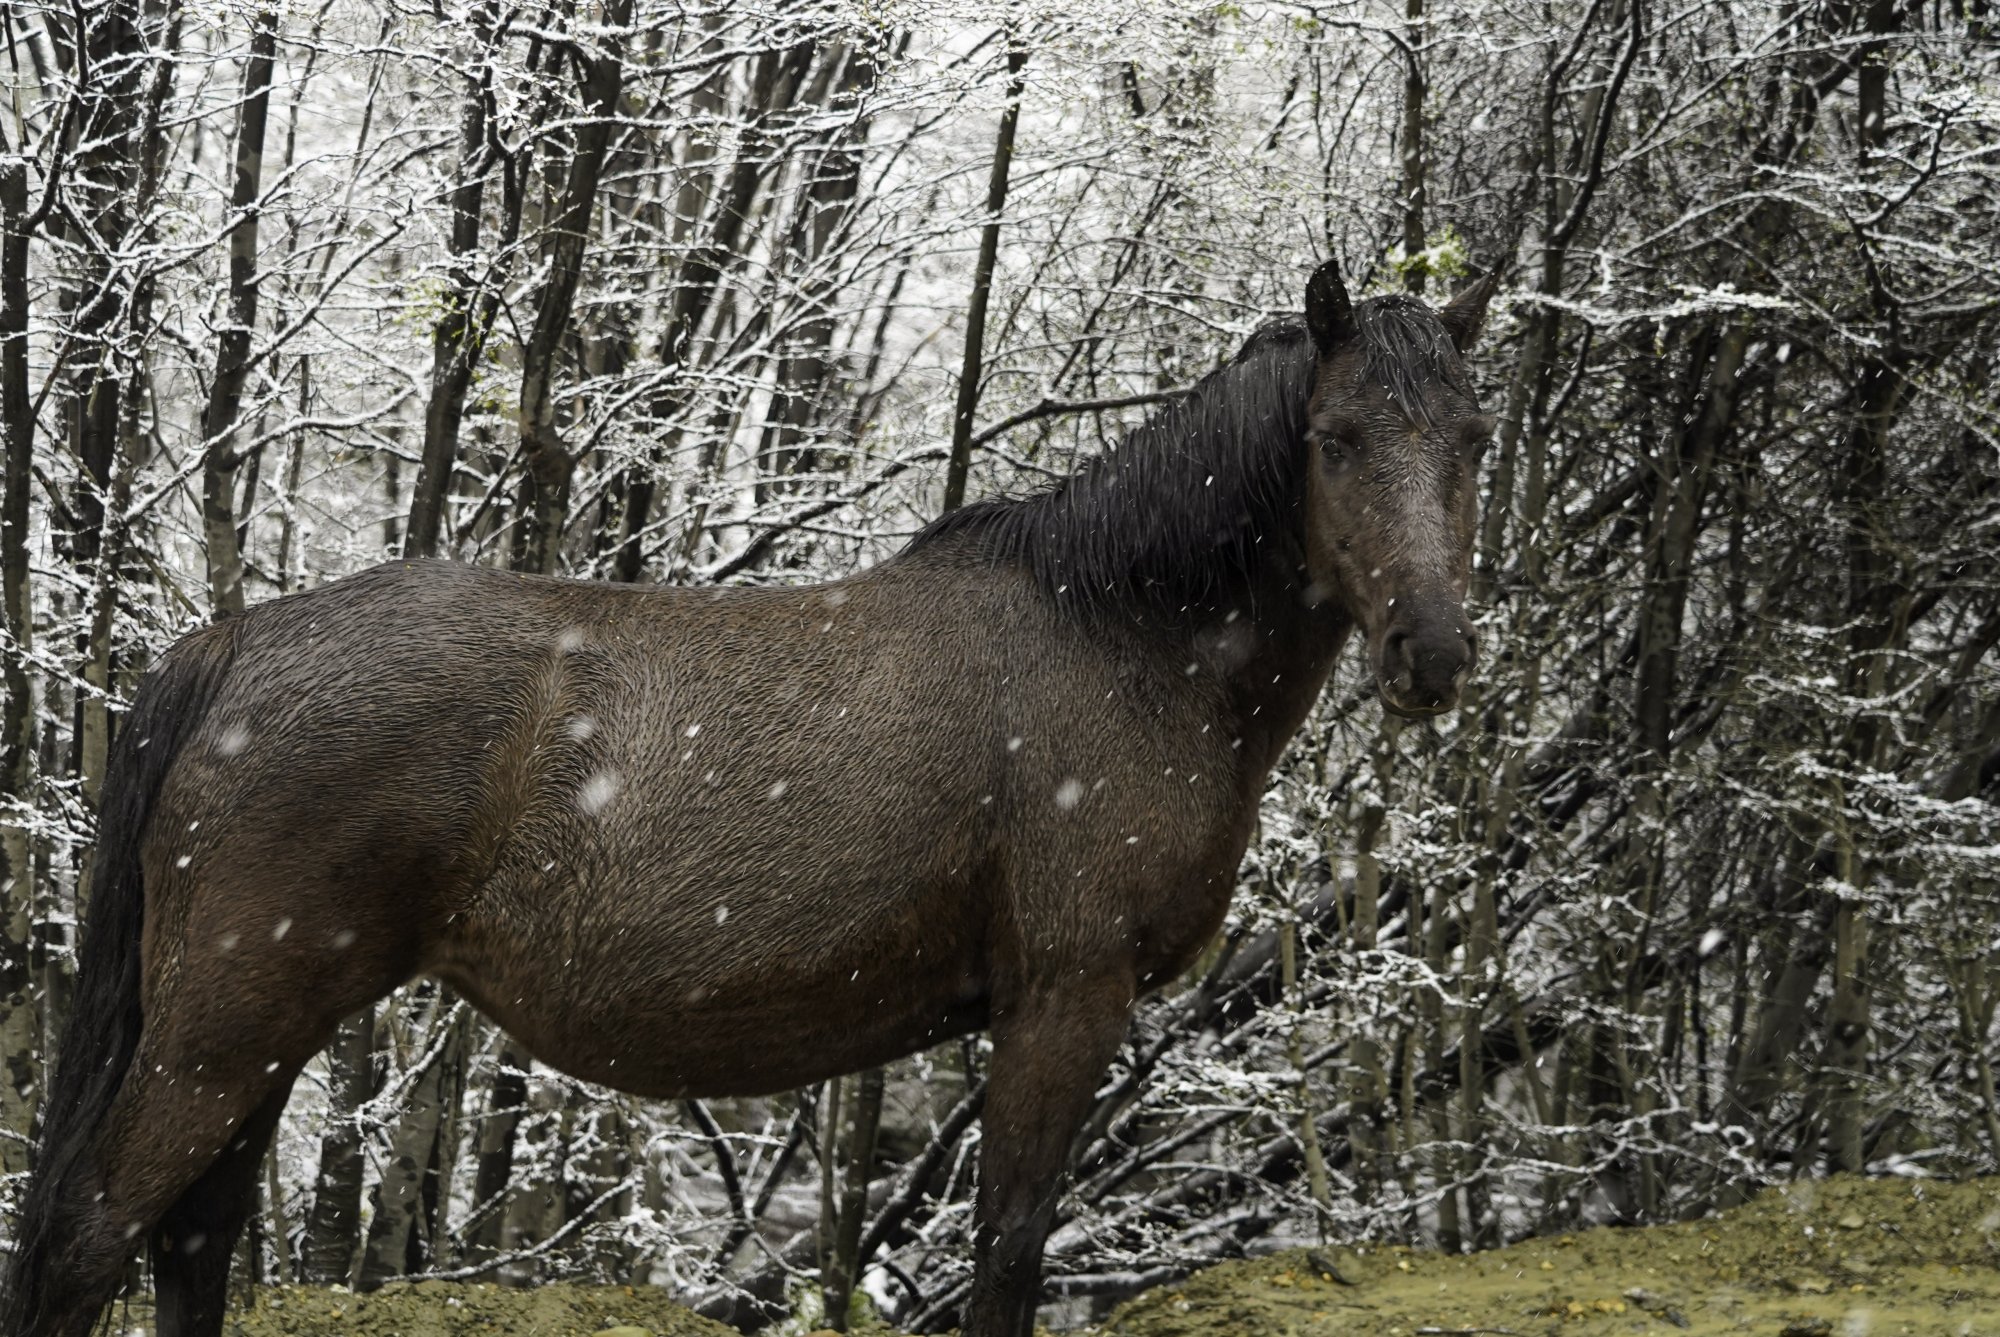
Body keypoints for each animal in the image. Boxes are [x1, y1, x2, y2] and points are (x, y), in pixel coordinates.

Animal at [0, 260, 1496, 1337]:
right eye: (1337, 439)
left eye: (1474, 440)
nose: (1431, 652)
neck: (1114, 632)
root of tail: (238, 643)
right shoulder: (1067, 995)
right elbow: (1009, 1252)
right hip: (225, 1026)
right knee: (89, 1239)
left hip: (258, 1027)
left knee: (190, 1241)